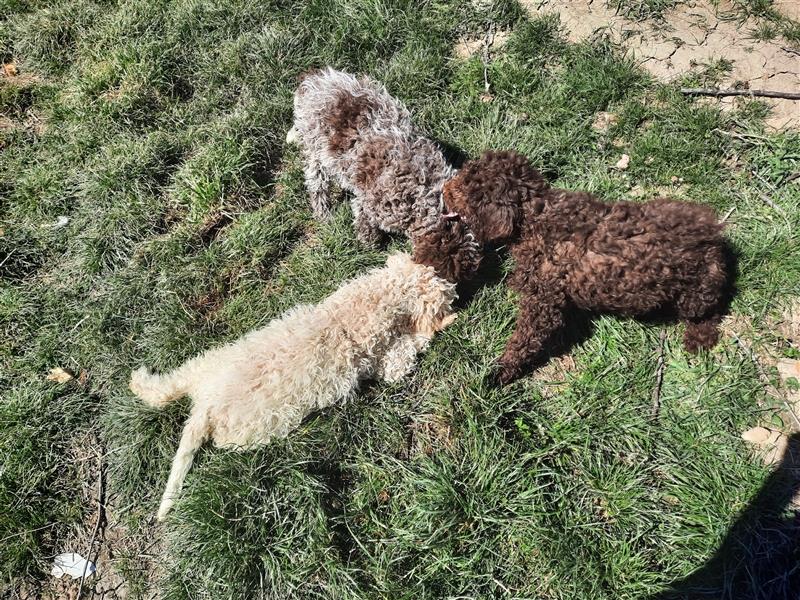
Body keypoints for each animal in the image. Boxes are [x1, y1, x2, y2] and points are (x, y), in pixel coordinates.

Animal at [130, 253, 456, 520]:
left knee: (165, 387)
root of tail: (206, 407)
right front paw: (445, 323)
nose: (454, 283)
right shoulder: (389, 361)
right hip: (243, 434)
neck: (350, 314)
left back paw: (138, 379)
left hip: (206, 362)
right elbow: (412, 348)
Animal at [288, 67, 476, 282]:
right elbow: (365, 226)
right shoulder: (369, 205)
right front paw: (369, 246)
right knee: (316, 183)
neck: (425, 196)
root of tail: (314, 80)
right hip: (316, 151)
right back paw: (324, 213)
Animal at [444, 150, 732, 384]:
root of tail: (713, 234)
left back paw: (698, 338)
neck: (536, 216)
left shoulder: (544, 302)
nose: (444, 189)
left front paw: (500, 372)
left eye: (462, 190)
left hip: (695, 288)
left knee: (709, 312)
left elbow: (525, 338)